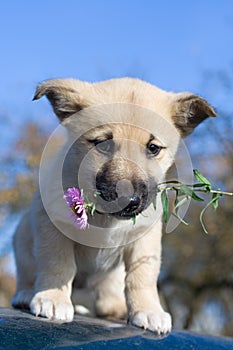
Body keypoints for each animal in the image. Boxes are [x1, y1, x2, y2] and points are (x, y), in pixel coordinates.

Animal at [11, 77, 216, 334]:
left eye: (153, 148)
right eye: (103, 144)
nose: (129, 201)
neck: (106, 217)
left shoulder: (145, 239)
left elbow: (142, 277)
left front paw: (148, 310)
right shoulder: (52, 224)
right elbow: (57, 263)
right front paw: (53, 298)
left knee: (107, 298)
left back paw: (117, 308)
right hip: (22, 240)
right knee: (28, 273)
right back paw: (26, 294)